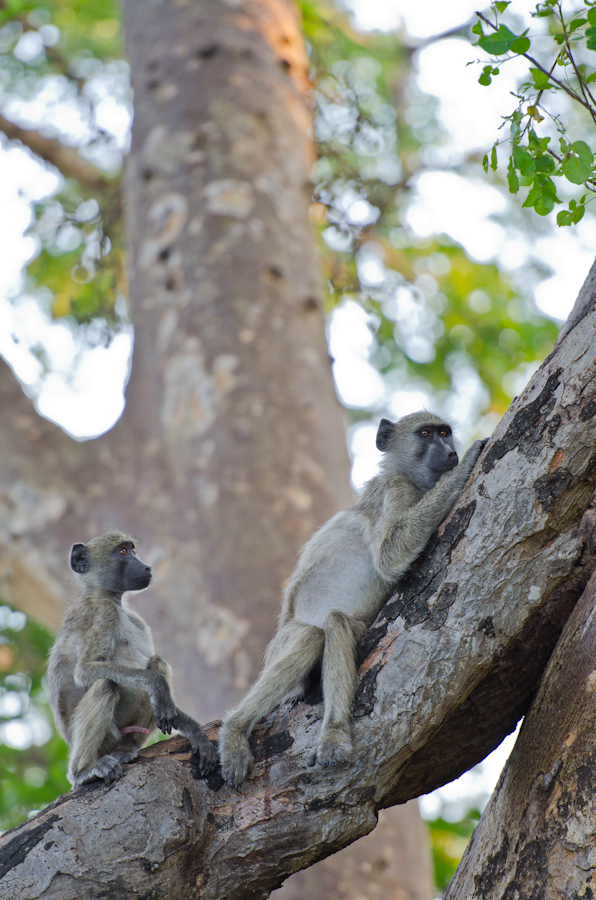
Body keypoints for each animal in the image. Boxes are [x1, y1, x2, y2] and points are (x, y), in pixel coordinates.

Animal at [48, 531, 217, 786]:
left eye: (133, 550)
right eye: (123, 551)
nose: (146, 567)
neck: (108, 598)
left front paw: (193, 729)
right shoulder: (102, 612)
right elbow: (86, 670)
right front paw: (157, 686)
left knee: (158, 663)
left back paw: (127, 747)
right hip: (107, 739)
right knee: (106, 684)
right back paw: (83, 770)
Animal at [219, 411, 488, 787]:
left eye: (445, 432)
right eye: (426, 434)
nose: (449, 452)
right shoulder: (395, 491)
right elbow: (390, 555)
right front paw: (464, 467)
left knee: (334, 626)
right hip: (282, 641)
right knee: (316, 632)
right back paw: (246, 730)